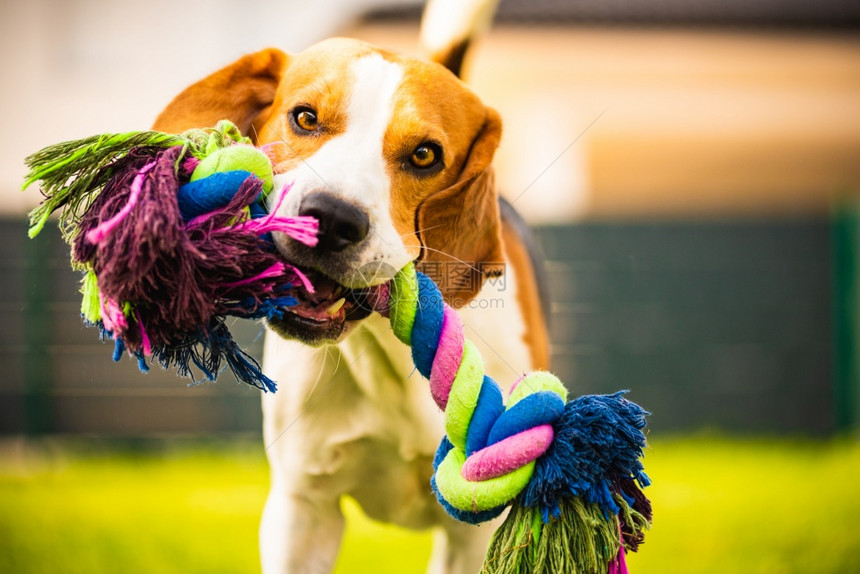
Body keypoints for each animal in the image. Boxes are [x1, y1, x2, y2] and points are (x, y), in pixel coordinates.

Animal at [151, 29, 548, 574]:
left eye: (425, 155)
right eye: (304, 118)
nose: (332, 217)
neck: (391, 355)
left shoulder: (473, 533)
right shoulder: (302, 510)